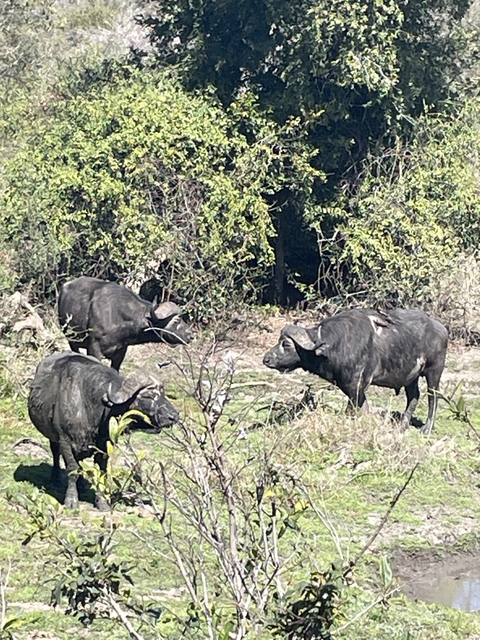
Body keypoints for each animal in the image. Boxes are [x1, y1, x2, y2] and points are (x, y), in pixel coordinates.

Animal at [28, 351, 179, 510]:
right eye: (148, 396)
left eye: (163, 394)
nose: (173, 416)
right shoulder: (65, 441)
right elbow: (72, 470)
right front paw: (71, 500)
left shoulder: (105, 444)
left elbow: (101, 471)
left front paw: (102, 503)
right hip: (53, 437)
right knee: (55, 452)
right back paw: (56, 478)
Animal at [263, 309, 448, 434]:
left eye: (286, 344)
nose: (266, 359)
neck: (336, 345)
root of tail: (442, 329)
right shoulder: (352, 388)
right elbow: (363, 408)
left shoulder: (357, 385)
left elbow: (351, 410)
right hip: (411, 377)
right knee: (414, 396)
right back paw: (402, 425)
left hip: (434, 372)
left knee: (433, 398)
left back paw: (427, 428)